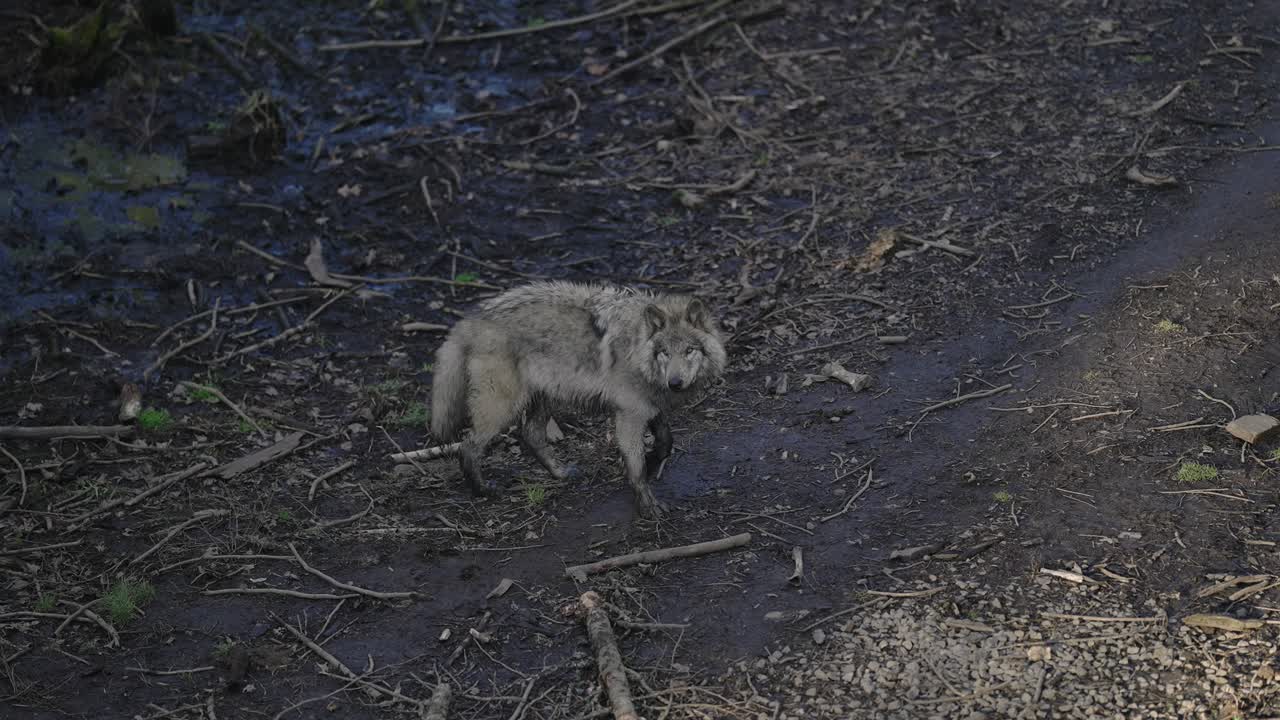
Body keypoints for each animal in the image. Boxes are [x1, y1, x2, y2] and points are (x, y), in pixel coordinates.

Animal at [429, 281, 727, 519]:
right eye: (664, 352)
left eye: (689, 350)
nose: (674, 383)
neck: (636, 348)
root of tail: (472, 319)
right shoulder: (629, 415)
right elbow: (636, 467)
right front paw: (648, 506)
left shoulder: (650, 406)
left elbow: (666, 442)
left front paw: (654, 461)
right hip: (502, 408)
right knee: (468, 446)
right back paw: (483, 490)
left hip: (544, 399)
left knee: (531, 434)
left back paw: (560, 474)